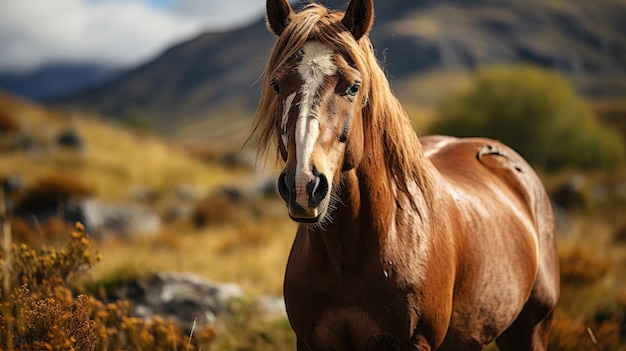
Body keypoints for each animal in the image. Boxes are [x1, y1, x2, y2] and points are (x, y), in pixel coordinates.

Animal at [250, 0, 560, 350]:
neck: (350, 256)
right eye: (277, 84)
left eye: (354, 86)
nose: (303, 185)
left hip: (530, 329)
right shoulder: (308, 342)